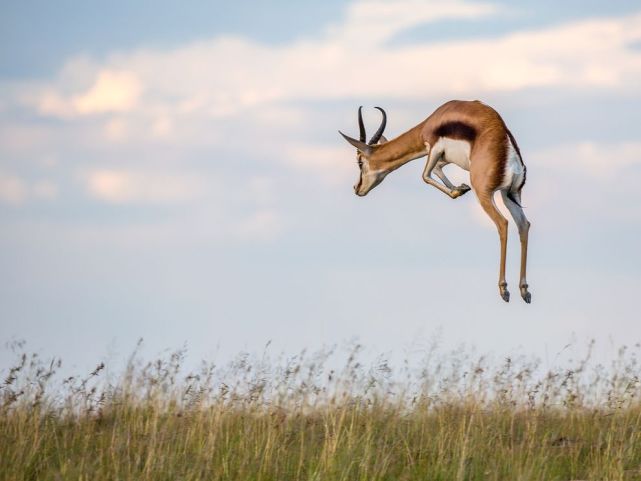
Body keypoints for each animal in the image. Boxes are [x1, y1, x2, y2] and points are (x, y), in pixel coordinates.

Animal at [340, 100, 528, 304]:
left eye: (360, 161)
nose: (357, 188)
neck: (433, 121)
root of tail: (508, 147)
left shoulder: (434, 148)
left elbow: (425, 175)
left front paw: (458, 189)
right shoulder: (443, 158)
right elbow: (437, 170)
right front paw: (460, 188)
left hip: (485, 194)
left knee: (503, 223)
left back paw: (504, 289)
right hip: (510, 194)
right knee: (523, 225)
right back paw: (524, 290)